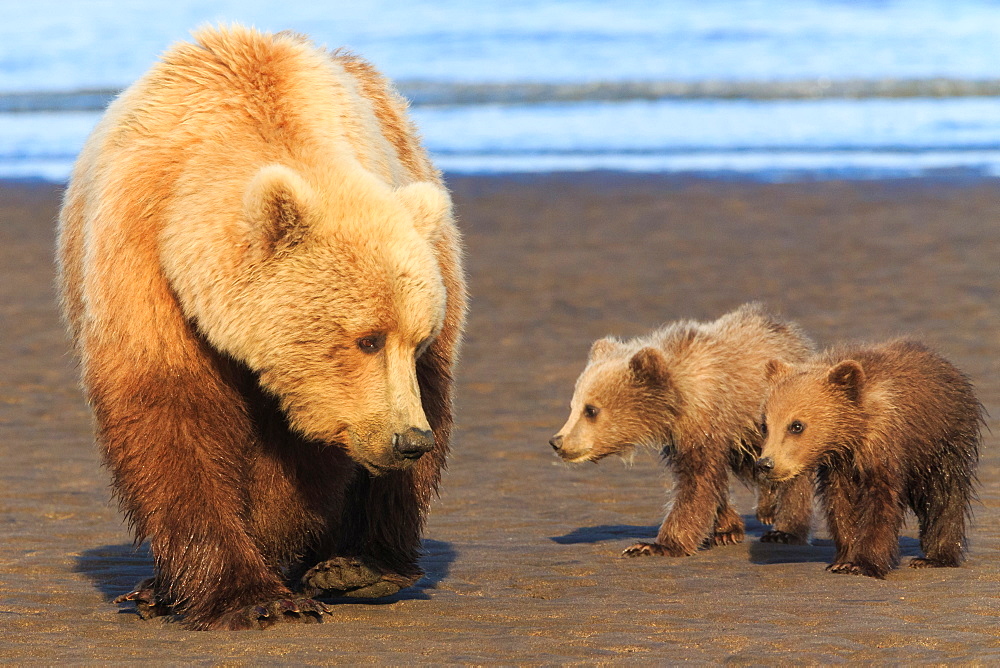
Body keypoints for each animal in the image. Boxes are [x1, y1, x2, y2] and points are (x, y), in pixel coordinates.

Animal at [58, 26, 468, 632]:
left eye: (411, 340)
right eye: (366, 339)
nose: (407, 439)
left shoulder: (321, 387)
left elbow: (300, 456)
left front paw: (273, 568)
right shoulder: (142, 263)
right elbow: (171, 412)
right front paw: (248, 595)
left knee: (432, 402)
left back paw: (363, 566)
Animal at [552, 306, 816, 556]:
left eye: (591, 410)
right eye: (573, 406)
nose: (557, 442)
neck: (678, 400)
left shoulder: (707, 418)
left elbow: (696, 481)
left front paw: (654, 546)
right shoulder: (684, 435)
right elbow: (708, 479)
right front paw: (726, 529)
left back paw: (784, 530)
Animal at [760, 342, 980, 576]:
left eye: (796, 425)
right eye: (764, 425)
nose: (766, 464)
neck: (854, 432)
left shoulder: (884, 447)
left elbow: (880, 503)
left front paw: (862, 563)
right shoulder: (840, 466)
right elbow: (841, 504)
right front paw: (843, 559)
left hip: (941, 443)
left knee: (944, 495)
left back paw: (934, 557)